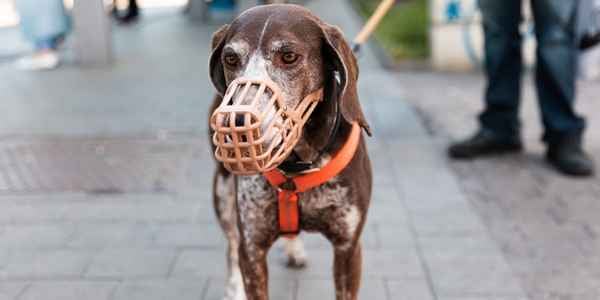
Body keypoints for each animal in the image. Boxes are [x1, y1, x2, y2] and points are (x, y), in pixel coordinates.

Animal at [210, 4, 370, 300]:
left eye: (288, 56)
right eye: (231, 58)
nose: (234, 122)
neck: (299, 163)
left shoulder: (348, 248)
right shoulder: (252, 249)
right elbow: (242, 253)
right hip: (222, 194)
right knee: (231, 243)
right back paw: (234, 287)